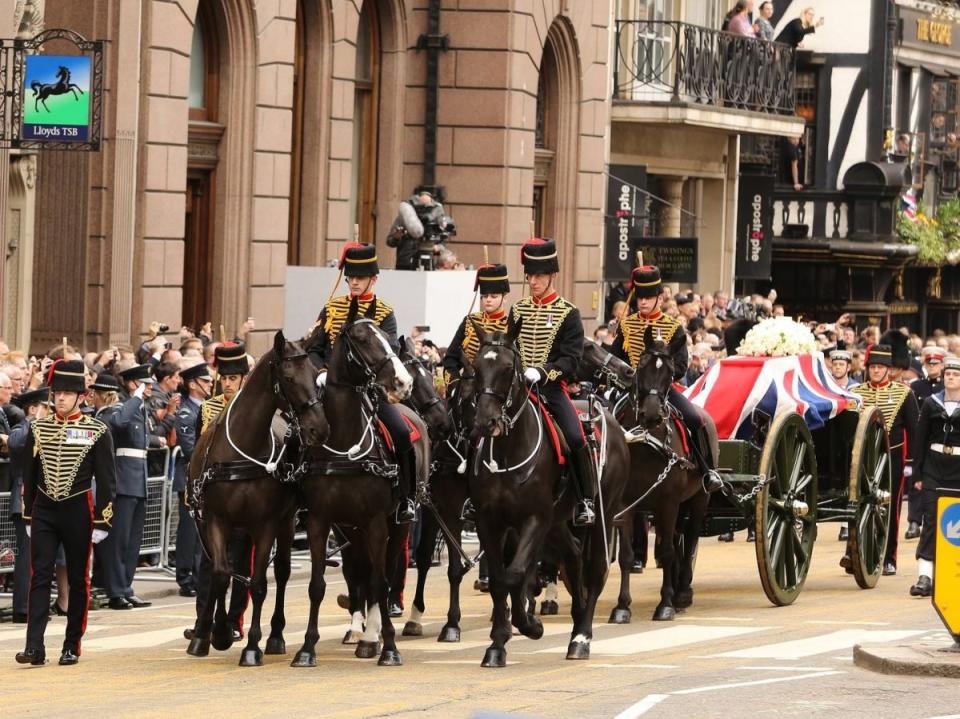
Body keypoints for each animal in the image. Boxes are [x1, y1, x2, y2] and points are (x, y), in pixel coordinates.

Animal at [187, 330, 330, 664]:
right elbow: (220, 574)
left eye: (316, 375)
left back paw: (275, 635)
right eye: (289, 377)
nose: (319, 429)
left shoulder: (264, 524)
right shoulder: (214, 520)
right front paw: (214, 634)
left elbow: (259, 584)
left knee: (280, 572)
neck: (242, 448)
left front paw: (251, 645)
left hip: (285, 522)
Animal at [292, 300, 428, 668]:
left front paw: (388, 647)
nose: (403, 383)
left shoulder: (377, 522)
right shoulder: (321, 521)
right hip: (351, 528)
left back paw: (374, 637)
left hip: (398, 524)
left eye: (390, 338)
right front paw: (306, 649)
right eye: (363, 339)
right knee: (361, 574)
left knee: (384, 574)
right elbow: (317, 585)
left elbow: (381, 582)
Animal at [470, 324, 632, 668]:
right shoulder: (489, 522)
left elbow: (516, 574)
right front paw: (498, 643)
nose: (486, 422)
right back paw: (577, 614)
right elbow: (502, 580)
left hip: (603, 515)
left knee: (595, 570)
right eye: (475, 368)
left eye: (508, 369)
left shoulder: (534, 519)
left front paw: (529, 625)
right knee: (572, 556)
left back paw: (581, 636)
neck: (508, 452)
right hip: (558, 522)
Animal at [616, 328, 712, 624]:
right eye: (640, 367)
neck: (645, 441)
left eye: (670, 373)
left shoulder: (667, 502)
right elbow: (626, 556)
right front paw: (622, 606)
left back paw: (683, 592)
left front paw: (665, 604)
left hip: (698, 499)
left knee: (690, 539)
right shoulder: (626, 504)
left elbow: (668, 551)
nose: (651, 414)